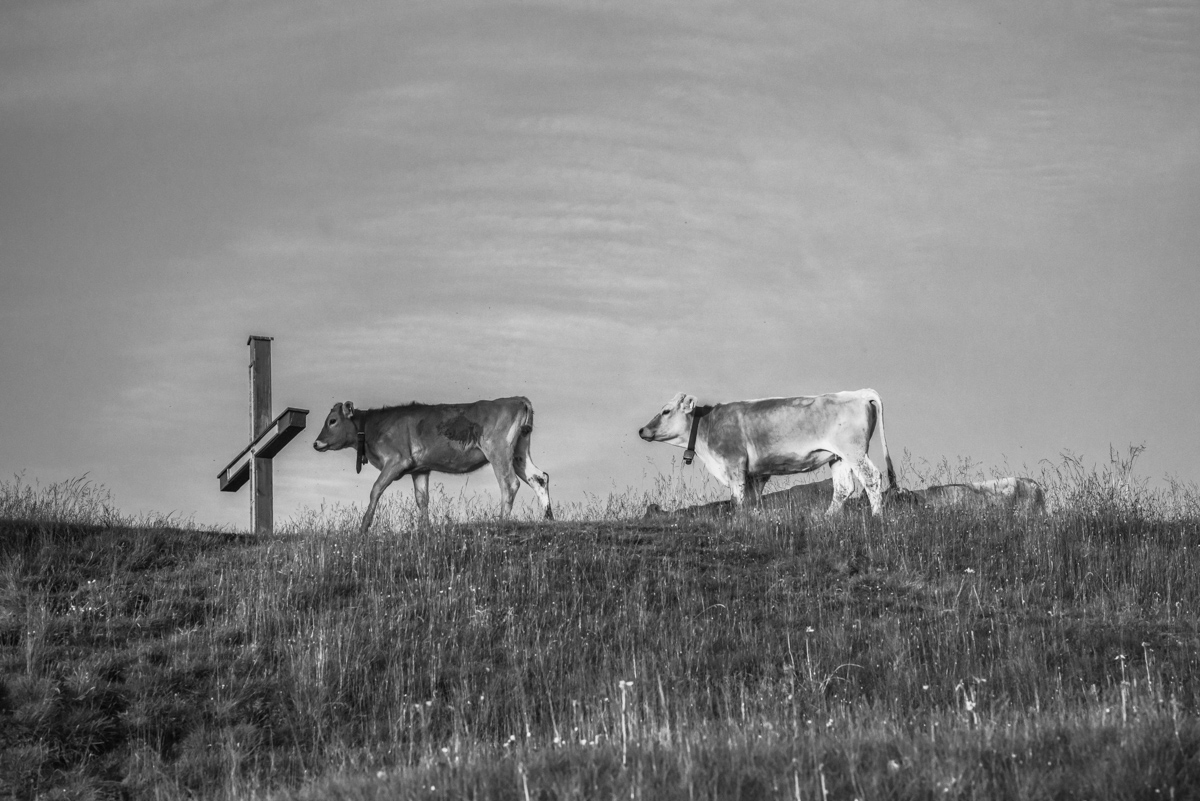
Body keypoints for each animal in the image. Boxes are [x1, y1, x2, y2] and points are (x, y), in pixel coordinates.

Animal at [313, 397, 552, 533]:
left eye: (332, 420)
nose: (316, 443)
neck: (374, 426)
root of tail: (517, 399)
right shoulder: (420, 469)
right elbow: (422, 499)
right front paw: (425, 529)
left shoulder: (396, 460)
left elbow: (375, 490)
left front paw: (363, 527)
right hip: (519, 453)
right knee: (539, 477)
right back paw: (548, 518)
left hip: (498, 450)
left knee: (509, 483)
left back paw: (501, 522)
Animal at [638, 389, 896, 515]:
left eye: (666, 411)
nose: (642, 430)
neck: (707, 426)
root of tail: (859, 392)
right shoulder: (757, 473)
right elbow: (753, 499)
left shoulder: (734, 464)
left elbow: (737, 500)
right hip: (838, 456)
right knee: (843, 488)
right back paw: (826, 519)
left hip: (854, 451)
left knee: (871, 478)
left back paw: (877, 517)